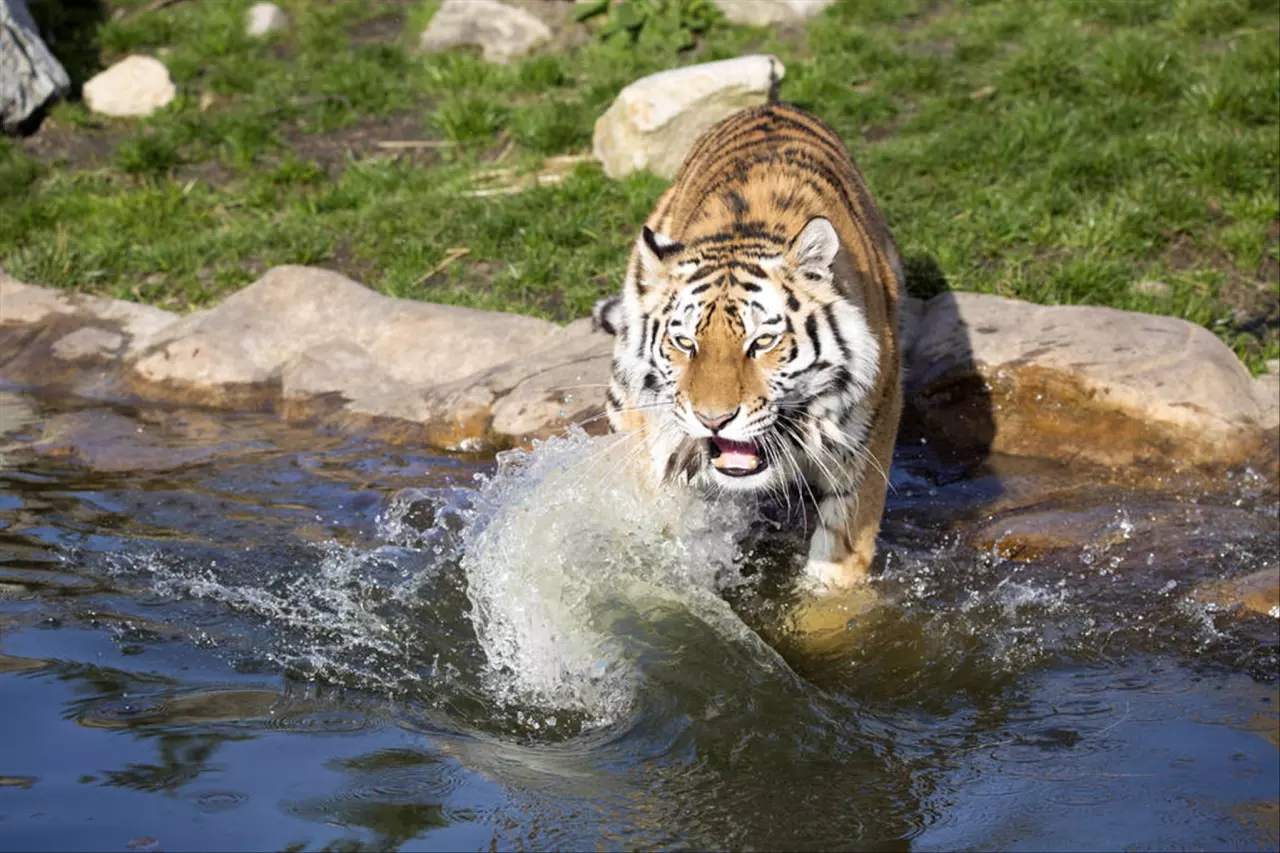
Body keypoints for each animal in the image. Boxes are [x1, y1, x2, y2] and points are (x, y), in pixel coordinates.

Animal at [593, 101, 906, 591]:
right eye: (685, 342)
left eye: (762, 343)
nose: (713, 420)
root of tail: (770, 105)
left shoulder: (868, 438)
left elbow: (838, 565)